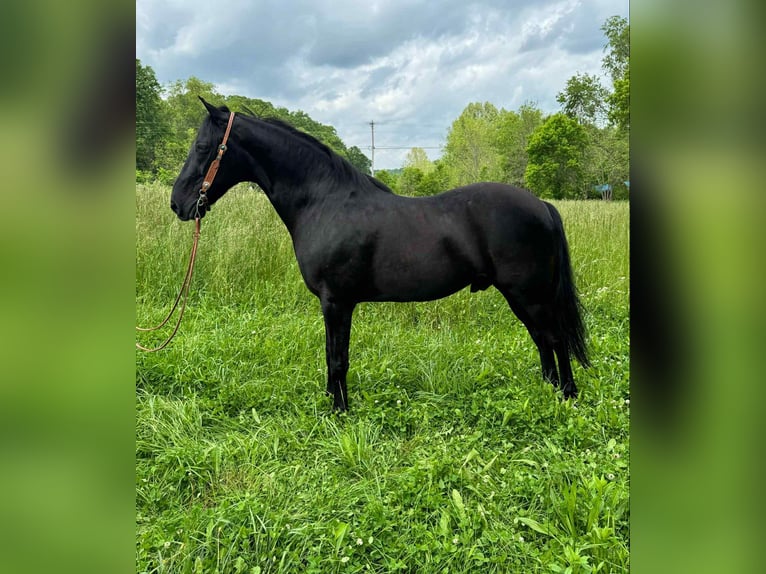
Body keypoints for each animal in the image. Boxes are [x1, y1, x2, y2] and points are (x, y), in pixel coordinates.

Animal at [170, 97, 589, 411]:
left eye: (203, 148)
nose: (178, 204)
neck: (324, 202)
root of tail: (541, 205)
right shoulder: (334, 303)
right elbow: (332, 355)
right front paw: (332, 402)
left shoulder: (337, 302)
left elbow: (337, 358)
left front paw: (339, 411)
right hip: (525, 297)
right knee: (543, 340)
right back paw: (549, 391)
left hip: (529, 295)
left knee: (553, 339)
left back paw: (567, 396)